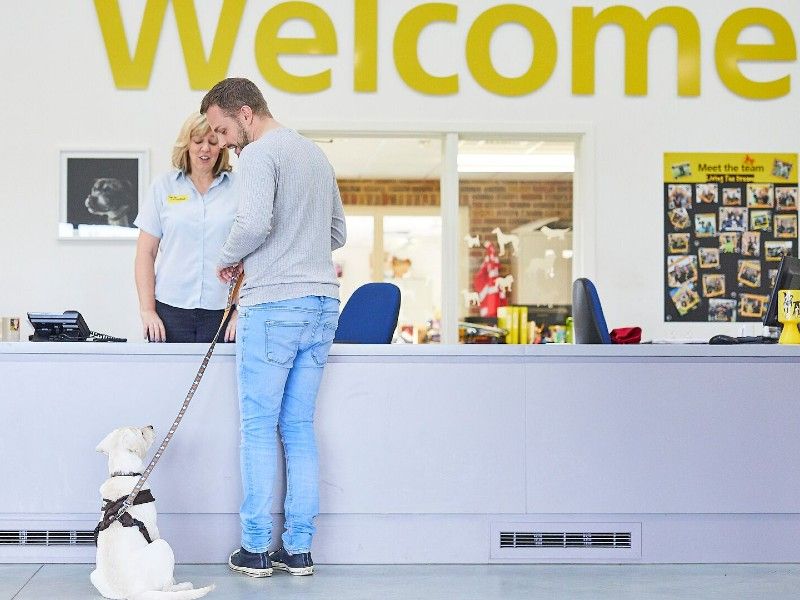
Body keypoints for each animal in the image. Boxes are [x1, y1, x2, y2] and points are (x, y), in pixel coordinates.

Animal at [91, 426, 214, 600]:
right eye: (141, 433)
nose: (151, 426)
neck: (124, 473)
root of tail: (133, 594)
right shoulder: (154, 529)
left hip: (94, 575)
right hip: (163, 545)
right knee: (167, 588)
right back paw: (183, 586)